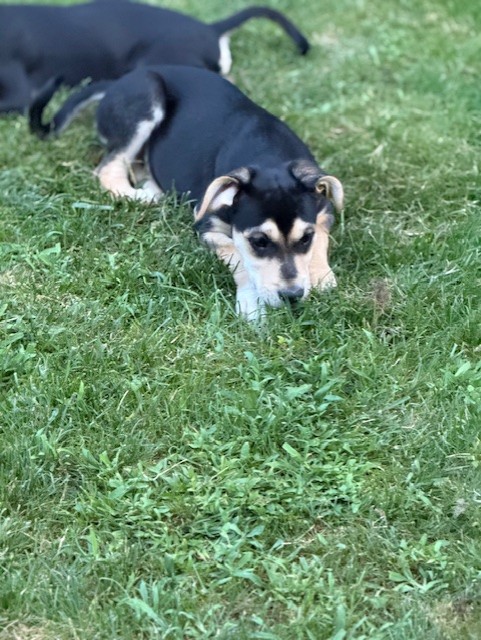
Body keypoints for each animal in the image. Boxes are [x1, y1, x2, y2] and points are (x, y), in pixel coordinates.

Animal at [29, 65, 343, 319]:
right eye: (259, 242)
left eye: (305, 238)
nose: (292, 296)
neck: (269, 157)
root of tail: (118, 81)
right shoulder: (206, 225)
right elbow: (239, 257)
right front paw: (252, 303)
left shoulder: (323, 209)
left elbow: (322, 236)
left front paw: (320, 275)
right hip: (146, 95)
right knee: (109, 170)